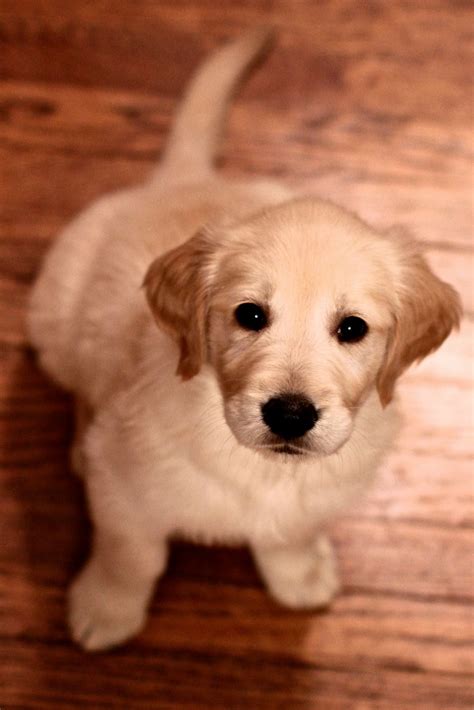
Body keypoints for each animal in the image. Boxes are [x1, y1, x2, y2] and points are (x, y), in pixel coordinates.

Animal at [27, 29, 462, 652]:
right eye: (250, 314)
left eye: (352, 328)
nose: (290, 415)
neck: (263, 469)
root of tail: (185, 178)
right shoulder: (124, 493)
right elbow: (132, 554)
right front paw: (106, 608)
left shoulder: (314, 498)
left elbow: (290, 534)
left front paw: (298, 575)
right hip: (54, 320)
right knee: (79, 388)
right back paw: (79, 447)